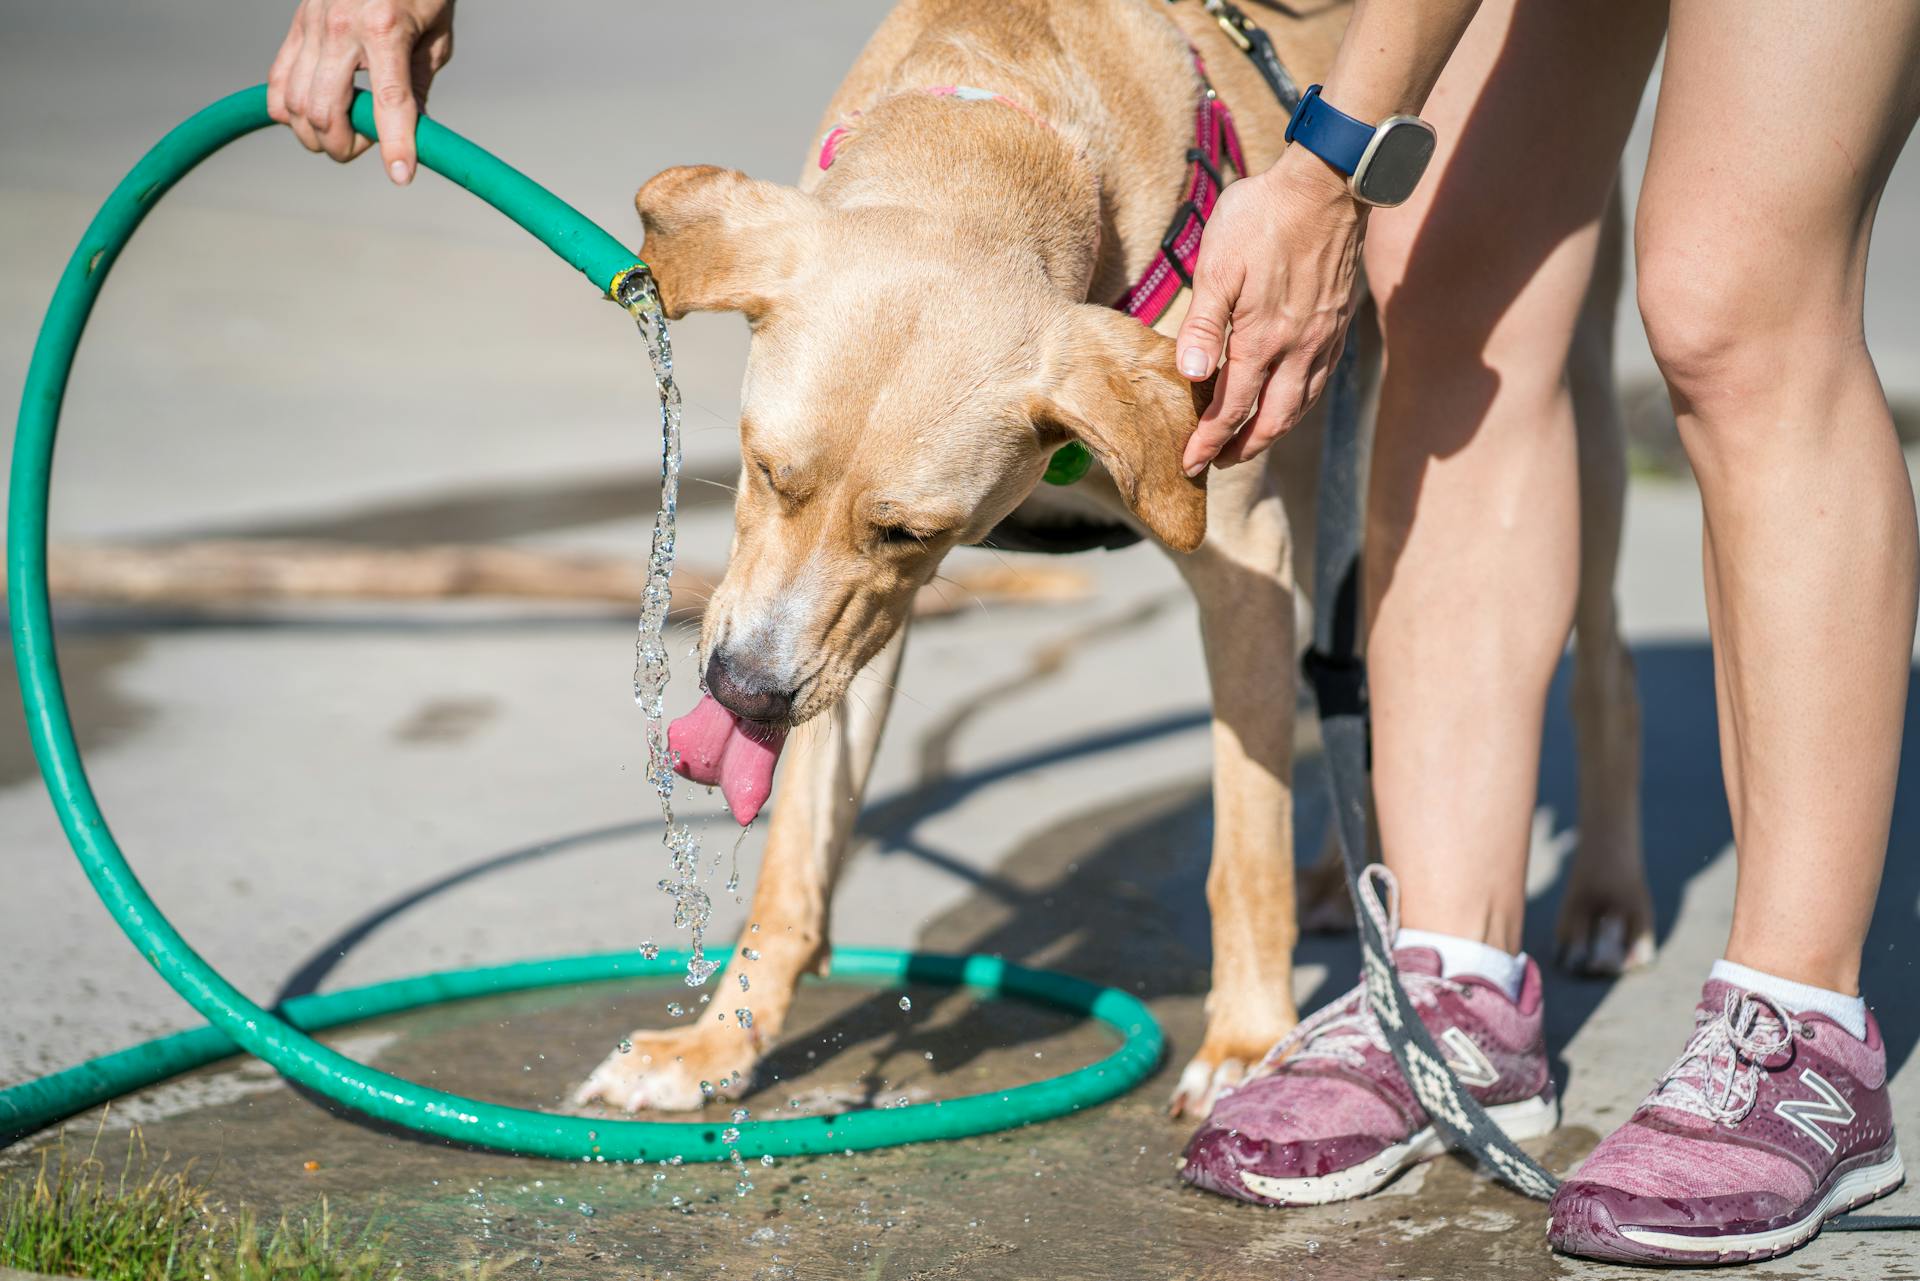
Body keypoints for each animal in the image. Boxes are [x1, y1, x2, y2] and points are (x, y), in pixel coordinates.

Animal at [572, 0, 1651, 1121]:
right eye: (764, 470)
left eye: (911, 532)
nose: (742, 693)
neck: (1004, 121)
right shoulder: (842, 631)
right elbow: (796, 858)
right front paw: (717, 1044)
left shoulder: (1239, 561)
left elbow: (1243, 847)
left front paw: (1247, 1040)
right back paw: (1342, 884)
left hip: (1552, 399)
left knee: (1600, 661)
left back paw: (1605, 898)